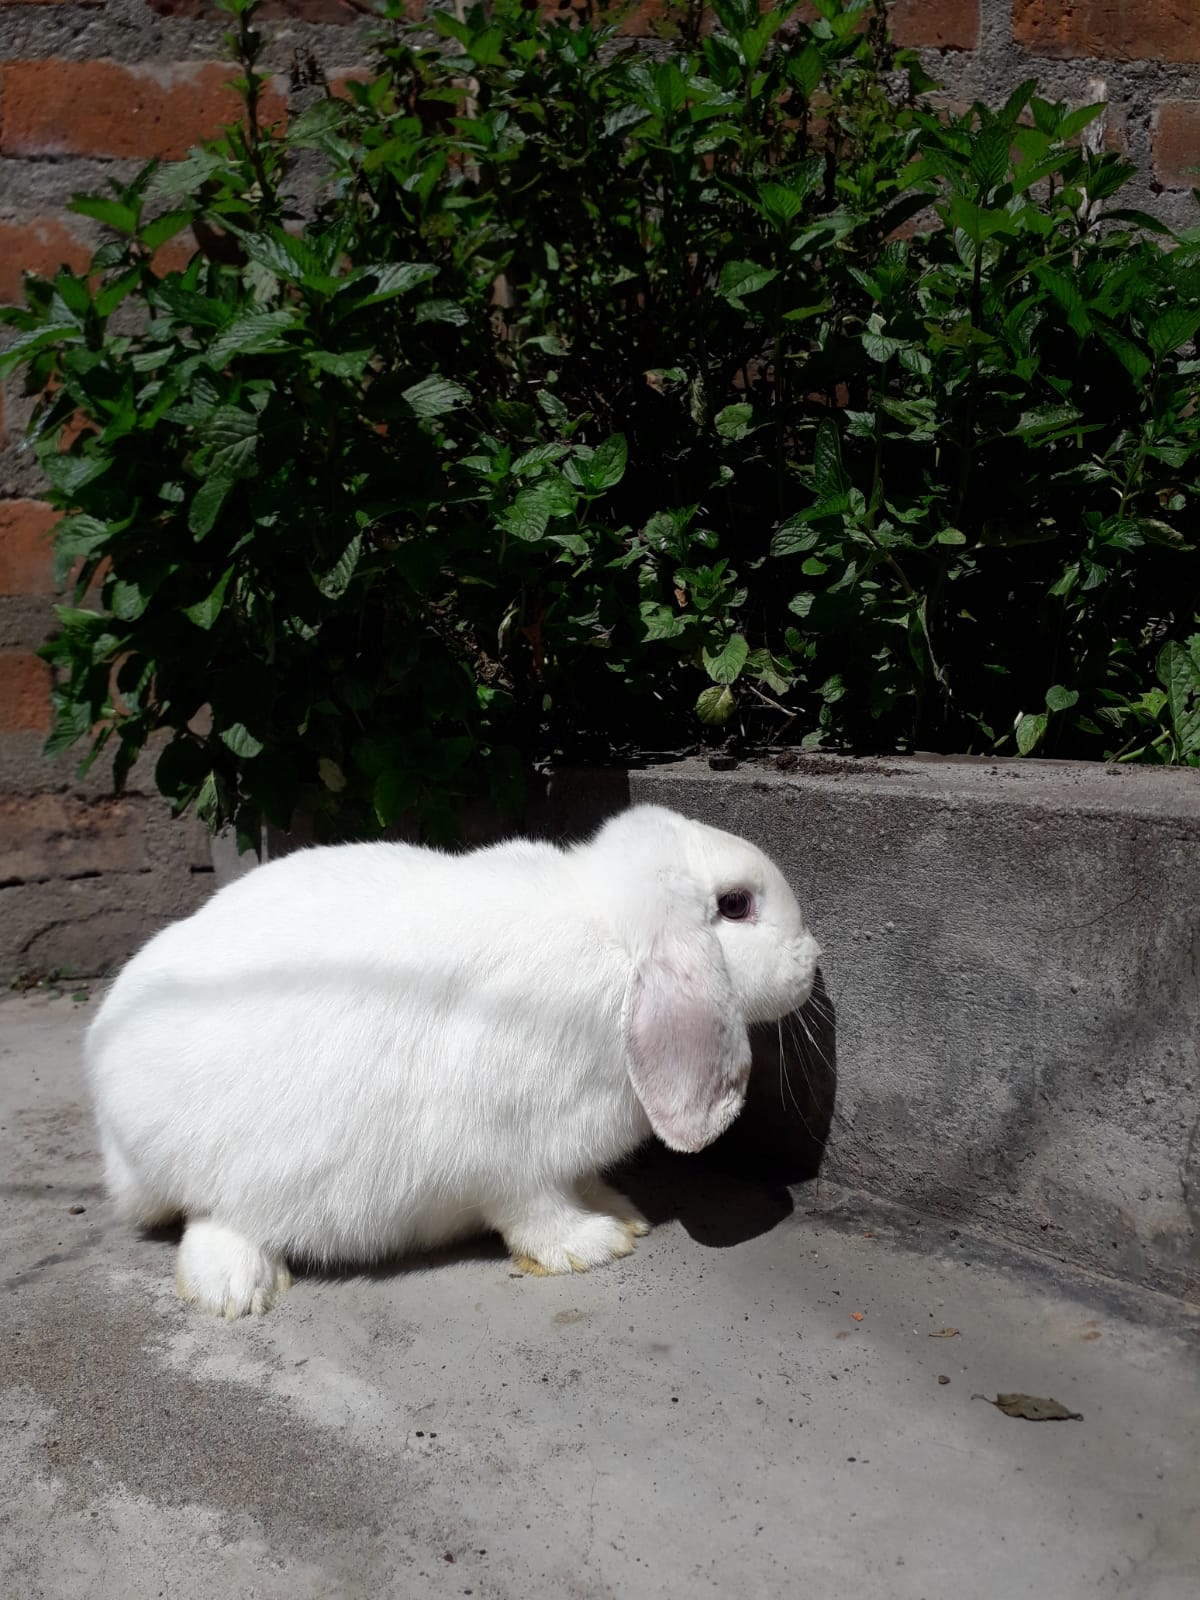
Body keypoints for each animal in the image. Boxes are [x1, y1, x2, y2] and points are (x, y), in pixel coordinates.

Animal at [87, 803, 821, 1318]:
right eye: (735, 906)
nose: (812, 962)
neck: (614, 947)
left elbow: (580, 1182)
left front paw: (620, 1211)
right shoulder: (506, 1151)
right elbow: (533, 1211)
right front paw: (593, 1243)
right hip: (226, 1169)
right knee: (211, 1218)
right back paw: (238, 1290)